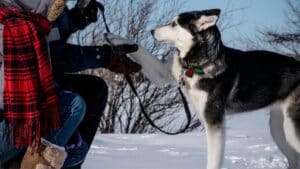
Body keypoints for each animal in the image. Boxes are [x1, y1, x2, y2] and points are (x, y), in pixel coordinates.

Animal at [152, 8, 300, 169]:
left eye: (174, 24)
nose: (152, 31)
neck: (202, 63)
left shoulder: (214, 121)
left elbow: (213, 160)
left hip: (292, 128)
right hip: (279, 129)